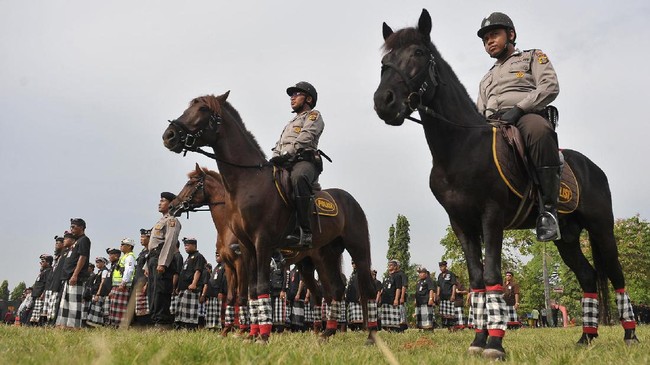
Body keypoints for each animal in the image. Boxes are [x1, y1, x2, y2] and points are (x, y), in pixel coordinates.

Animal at [159, 92, 378, 342]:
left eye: (203, 109)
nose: (169, 135)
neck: (247, 182)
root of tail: (350, 200)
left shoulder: (260, 244)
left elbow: (257, 288)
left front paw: (261, 336)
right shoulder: (246, 250)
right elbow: (250, 292)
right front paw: (251, 334)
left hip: (357, 249)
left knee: (365, 289)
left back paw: (370, 336)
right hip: (322, 256)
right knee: (332, 290)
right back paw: (327, 332)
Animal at [372, 8, 636, 358]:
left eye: (417, 53)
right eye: (385, 60)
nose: (383, 101)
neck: (461, 147)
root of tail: (593, 167)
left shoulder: (491, 216)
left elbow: (492, 274)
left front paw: (495, 342)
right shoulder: (461, 223)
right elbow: (476, 279)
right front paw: (478, 339)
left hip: (602, 228)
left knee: (616, 273)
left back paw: (630, 334)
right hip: (566, 237)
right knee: (588, 276)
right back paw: (587, 336)